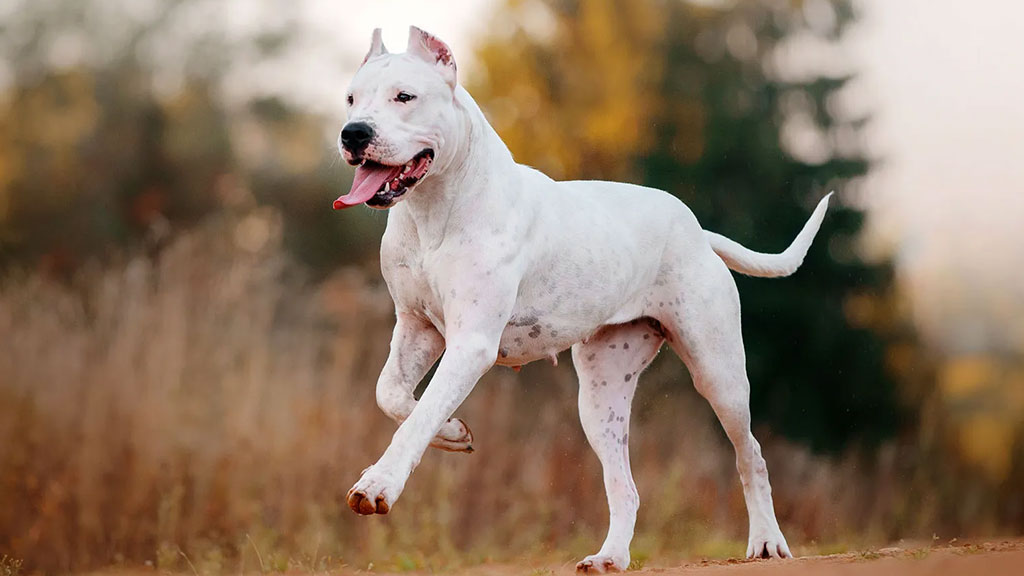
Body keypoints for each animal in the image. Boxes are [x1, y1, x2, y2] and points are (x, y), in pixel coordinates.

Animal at [335, 26, 831, 569]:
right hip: (600, 396)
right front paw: (454, 431)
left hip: (718, 373)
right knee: (625, 487)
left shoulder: (471, 344)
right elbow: (392, 395)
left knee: (751, 454)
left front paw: (379, 483)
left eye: (405, 97)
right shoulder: (417, 327)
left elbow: (416, 417)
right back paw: (610, 557)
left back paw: (766, 540)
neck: (433, 210)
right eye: (351, 99)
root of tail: (699, 231)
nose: (353, 133)